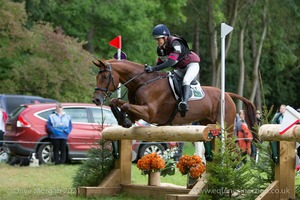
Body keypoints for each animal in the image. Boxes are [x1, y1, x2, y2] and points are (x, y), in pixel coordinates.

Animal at [92, 59, 255, 134]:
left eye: (105, 77)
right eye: (97, 77)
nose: (96, 100)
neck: (143, 82)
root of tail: (227, 94)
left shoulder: (149, 113)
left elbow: (125, 105)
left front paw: (124, 120)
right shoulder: (138, 112)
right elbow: (115, 101)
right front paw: (123, 120)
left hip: (226, 125)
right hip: (206, 121)